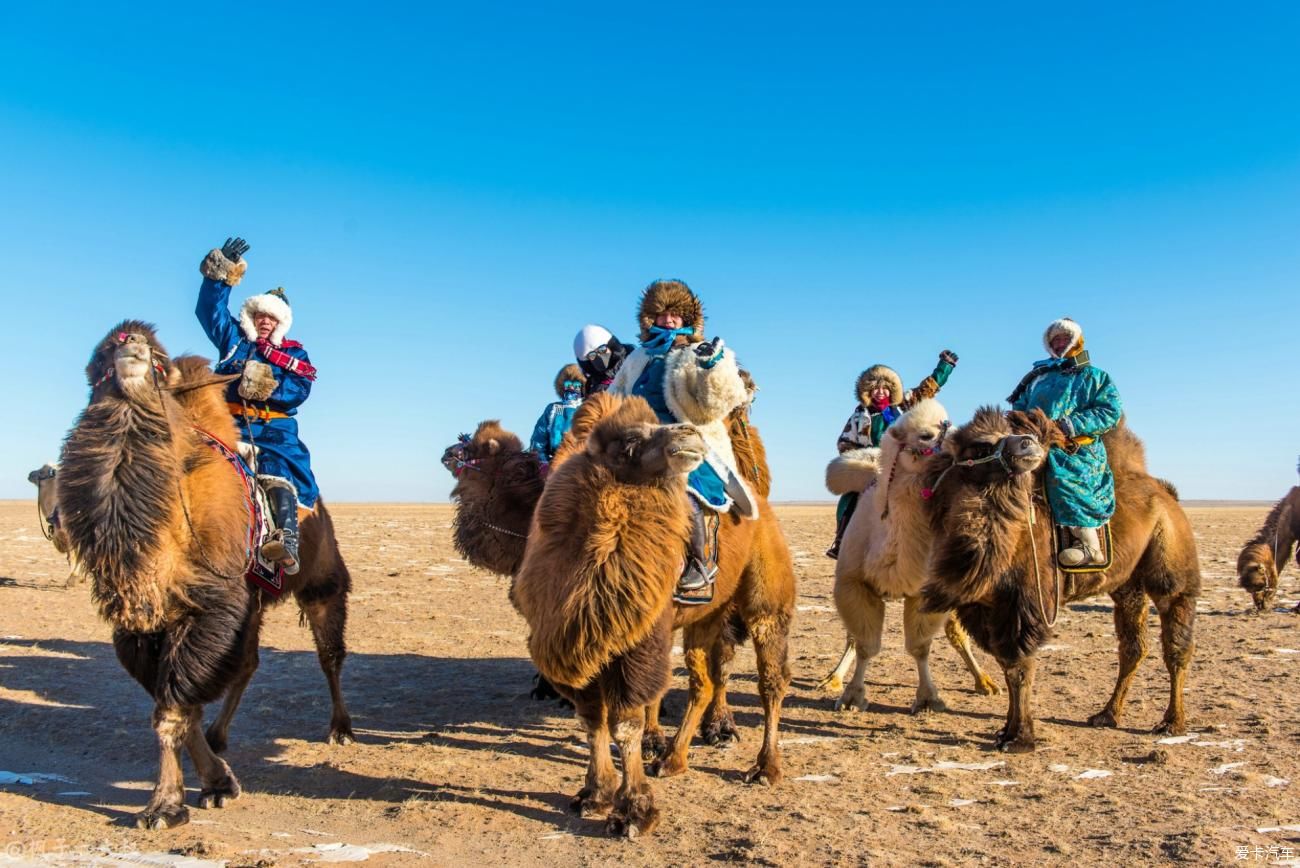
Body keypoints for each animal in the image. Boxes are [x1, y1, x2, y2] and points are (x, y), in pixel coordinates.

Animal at [58, 322, 353, 831]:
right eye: (102, 357)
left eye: (159, 364)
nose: (130, 343)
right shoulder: (141, 627)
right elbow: (181, 705)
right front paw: (213, 784)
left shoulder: (211, 607)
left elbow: (172, 710)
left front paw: (165, 806)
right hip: (253, 602)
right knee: (249, 663)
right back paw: (221, 734)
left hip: (320, 577)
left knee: (329, 653)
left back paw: (341, 729)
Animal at [821, 400, 993, 712]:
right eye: (925, 435)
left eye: (952, 424)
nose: (973, 447)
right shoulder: (853, 584)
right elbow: (864, 644)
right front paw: (852, 697)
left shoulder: (925, 592)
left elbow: (920, 647)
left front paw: (928, 699)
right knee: (851, 637)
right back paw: (833, 678)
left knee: (956, 633)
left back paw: (985, 682)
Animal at [920, 408, 1201, 753]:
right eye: (981, 446)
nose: (1027, 443)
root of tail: (1167, 496)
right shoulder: (986, 606)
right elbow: (1006, 665)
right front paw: (1006, 731)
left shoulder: (1023, 602)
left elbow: (1020, 667)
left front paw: (1020, 738)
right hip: (1127, 585)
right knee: (1133, 647)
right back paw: (1107, 714)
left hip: (1171, 566)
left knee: (1176, 642)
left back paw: (1171, 722)